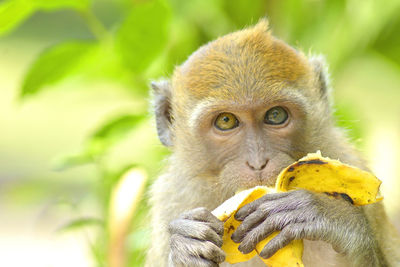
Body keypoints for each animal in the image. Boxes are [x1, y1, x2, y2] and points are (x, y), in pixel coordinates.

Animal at [145, 19, 400, 267]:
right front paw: (185, 248)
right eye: (226, 121)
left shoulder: (349, 161)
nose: (258, 162)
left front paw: (331, 217)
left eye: (276, 115)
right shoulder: (170, 197)